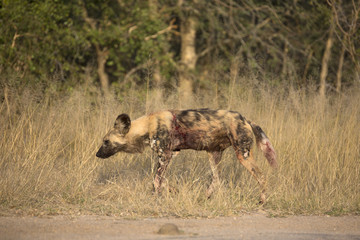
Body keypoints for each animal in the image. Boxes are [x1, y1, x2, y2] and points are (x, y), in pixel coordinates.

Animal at [95, 109, 276, 202]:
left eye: (106, 141)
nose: (97, 154)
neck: (147, 125)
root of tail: (245, 119)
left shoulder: (165, 155)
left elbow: (156, 180)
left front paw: (157, 197)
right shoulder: (170, 155)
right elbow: (161, 180)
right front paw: (171, 191)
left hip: (242, 155)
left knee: (262, 177)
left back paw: (262, 201)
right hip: (213, 155)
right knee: (217, 179)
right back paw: (206, 197)